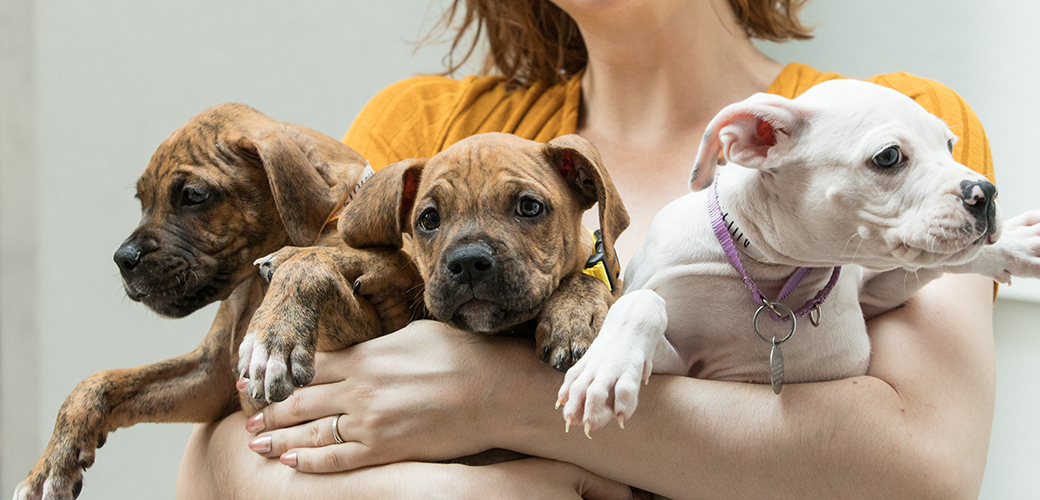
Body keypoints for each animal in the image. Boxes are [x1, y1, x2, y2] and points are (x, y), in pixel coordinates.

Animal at [12, 101, 418, 498]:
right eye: (142, 200)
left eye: (193, 196)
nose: (123, 259)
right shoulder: (211, 379)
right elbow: (100, 381)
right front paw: (52, 465)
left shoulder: (377, 323)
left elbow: (311, 263)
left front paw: (276, 335)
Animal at [557, 77, 1040, 432]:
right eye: (888, 157)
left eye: (951, 146)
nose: (985, 193)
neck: (767, 274)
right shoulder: (680, 368)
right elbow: (643, 301)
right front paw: (605, 368)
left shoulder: (875, 290)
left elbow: (922, 265)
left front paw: (1012, 245)